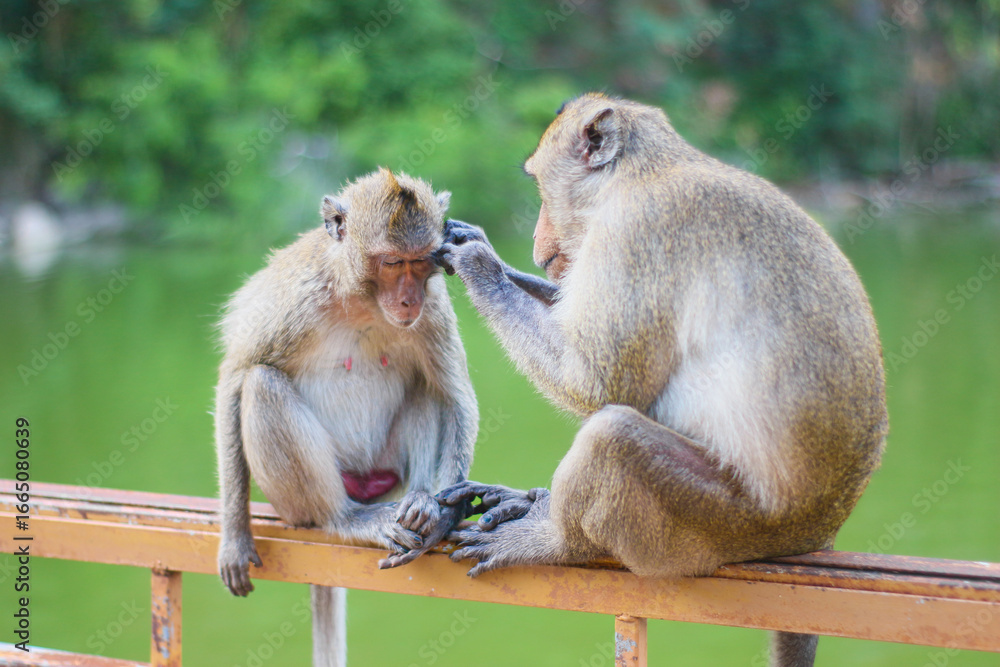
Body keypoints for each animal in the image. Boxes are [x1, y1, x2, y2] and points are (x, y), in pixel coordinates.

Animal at [214, 168, 478, 667]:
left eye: (420, 262)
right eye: (392, 263)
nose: (409, 300)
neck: (362, 300)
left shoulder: (433, 309)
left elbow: (455, 398)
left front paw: (441, 516)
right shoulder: (294, 302)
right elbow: (234, 381)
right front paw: (235, 535)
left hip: (385, 475)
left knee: (426, 385)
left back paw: (419, 501)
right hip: (298, 501)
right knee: (261, 384)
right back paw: (344, 518)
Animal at [434, 93, 888, 667]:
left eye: (540, 185)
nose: (538, 245)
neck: (641, 173)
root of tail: (819, 528)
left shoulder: (636, 230)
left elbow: (597, 382)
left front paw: (481, 265)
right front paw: (484, 248)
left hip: (722, 523)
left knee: (613, 436)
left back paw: (556, 541)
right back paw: (533, 503)